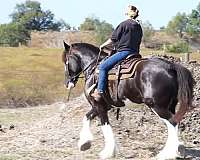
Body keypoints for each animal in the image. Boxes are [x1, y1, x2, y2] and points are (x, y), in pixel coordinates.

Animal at [61, 41, 194, 160]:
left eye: (66, 62)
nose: (67, 83)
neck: (94, 67)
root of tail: (171, 66)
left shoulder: (99, 105)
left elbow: (105, 126)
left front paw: (107, 152)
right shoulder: (101, 106)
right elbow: (86, 117)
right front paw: (84, 143)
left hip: (157, 106)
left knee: (172, 122)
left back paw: (167, 154)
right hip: (170, 105)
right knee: (174, 123)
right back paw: (174, 150)